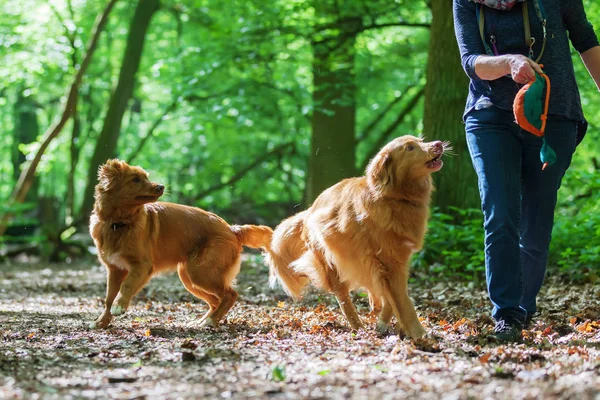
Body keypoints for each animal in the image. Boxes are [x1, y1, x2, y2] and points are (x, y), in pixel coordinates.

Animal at [89, 159, 272, 328]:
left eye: (146, 177)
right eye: (135, 179)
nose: (161, 187)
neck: (119, 223)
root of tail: (231, 229)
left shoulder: (142, 266)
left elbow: (126, 285)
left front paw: (119, 306)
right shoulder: (114, 269)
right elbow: (108, 298)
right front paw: (101, 322)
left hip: (200, 271)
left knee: (230, 295)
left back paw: (210, 321)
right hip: (189, 276)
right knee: (215, 300)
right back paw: (202, 321)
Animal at [264, 135, 448, 338]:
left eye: (421, 140)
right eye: (410, 148)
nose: (438, 144)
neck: (395, 197)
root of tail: (309, 211)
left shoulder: (396, 262)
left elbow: (394, 298)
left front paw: (384, 322)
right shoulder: (390, 263)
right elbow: (404, 302)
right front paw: (419, 334)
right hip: (332, 261)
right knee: (344, 298)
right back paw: (357, 325)